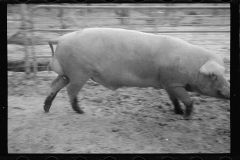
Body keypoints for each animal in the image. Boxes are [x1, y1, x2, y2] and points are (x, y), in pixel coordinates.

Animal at [43, 27, 231, 119]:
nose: (230, 93)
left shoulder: (167, 83)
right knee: (70, 90)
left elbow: (174, 99)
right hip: (79, 71)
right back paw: (80, 112)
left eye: (224, 74)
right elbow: (188, 100)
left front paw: (177, 112)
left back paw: (46, 109)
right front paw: (186, 117)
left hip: (68, 72)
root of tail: (61, 39)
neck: (193, 67)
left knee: (55, 85)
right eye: (214, 76)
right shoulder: (175, 83)